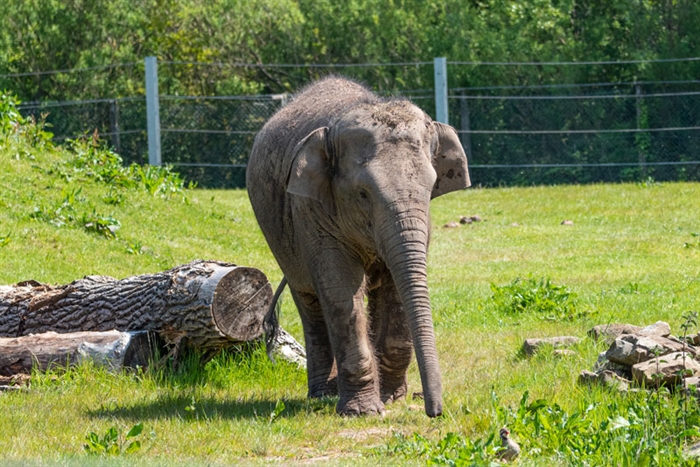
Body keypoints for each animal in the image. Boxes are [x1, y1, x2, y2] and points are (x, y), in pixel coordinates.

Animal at [246, 77, 470, 420]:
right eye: (363, 194)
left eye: (432, 186)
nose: (435, 412)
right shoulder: (310, 208)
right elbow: (341, 289)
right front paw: (362, 411)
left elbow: (397, 286)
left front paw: (390, 398)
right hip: (281, 240)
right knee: (310, 303)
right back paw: (324, 394)